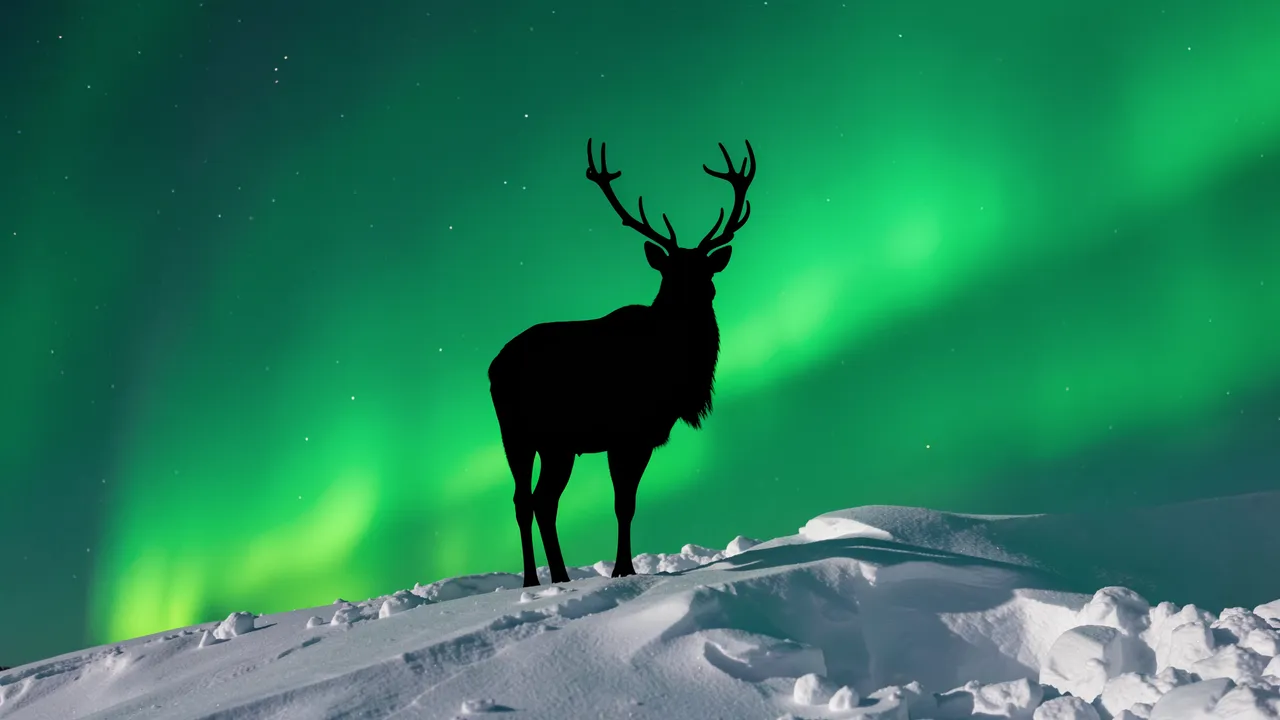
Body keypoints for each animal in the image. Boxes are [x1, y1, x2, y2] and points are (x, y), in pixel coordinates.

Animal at [487, 138, 756, 587]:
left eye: (707, 273)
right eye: (671, 275)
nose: (696, 299)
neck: (677, 378)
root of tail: (492, 366)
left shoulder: (643, 438)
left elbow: (628, 501)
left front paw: (623, 568)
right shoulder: (623, 434)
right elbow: (622, 503)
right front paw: (622, 570)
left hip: (558, 446)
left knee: (544, 501)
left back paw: (561, 577)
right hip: (516, 435)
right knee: (523, 500)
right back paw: (531, 581)